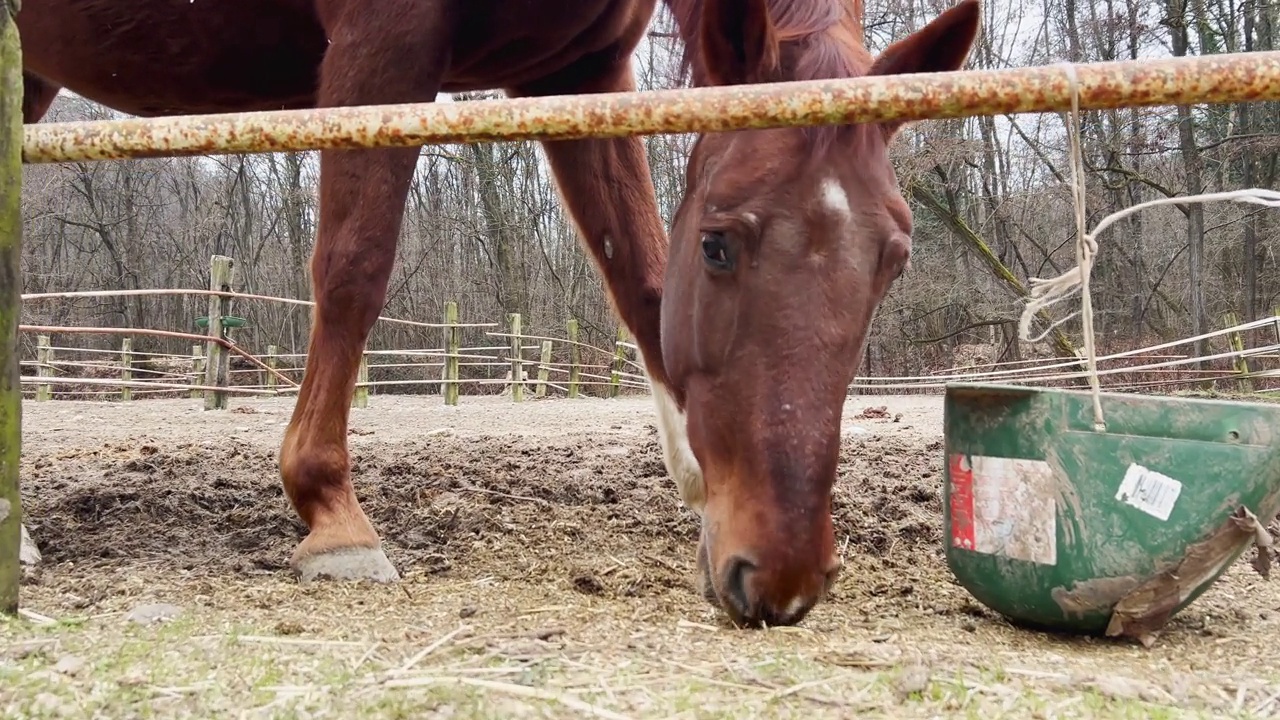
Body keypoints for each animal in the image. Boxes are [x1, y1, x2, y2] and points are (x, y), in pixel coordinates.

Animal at [15, 0, 977, 622]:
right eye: (717, 243)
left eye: (895, 259)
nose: (782, 578)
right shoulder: (381, 45)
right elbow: (356, 265)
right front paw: (331, 514)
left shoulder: (579, 71)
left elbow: (639, 278)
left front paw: (704, 502)